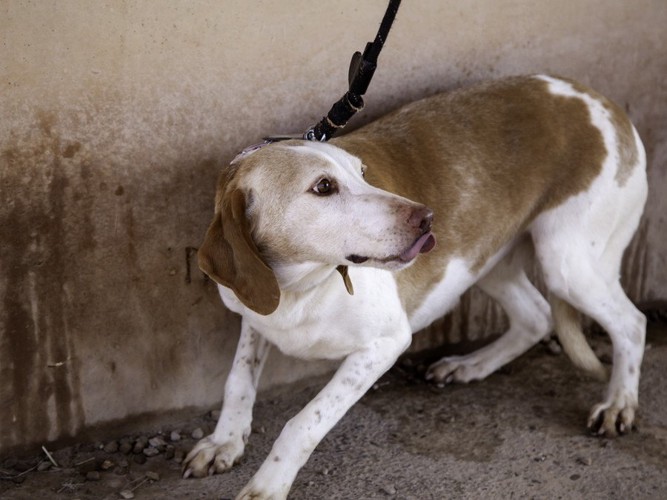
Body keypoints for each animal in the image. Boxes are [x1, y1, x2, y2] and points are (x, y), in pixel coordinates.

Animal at [181, 75, 648, 500]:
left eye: (362, 173)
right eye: (323, 187)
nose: (427, 218)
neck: (300, 287)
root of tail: (598, 100)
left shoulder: (384, 345)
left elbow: (303, 422)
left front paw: (267, 485)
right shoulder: (255, 317)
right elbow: (238, 381)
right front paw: (225, 440)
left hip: (564, 263)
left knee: (632, 322)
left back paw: (619, 403)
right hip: (485, 257)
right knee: (536, 316)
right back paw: (470, 365)